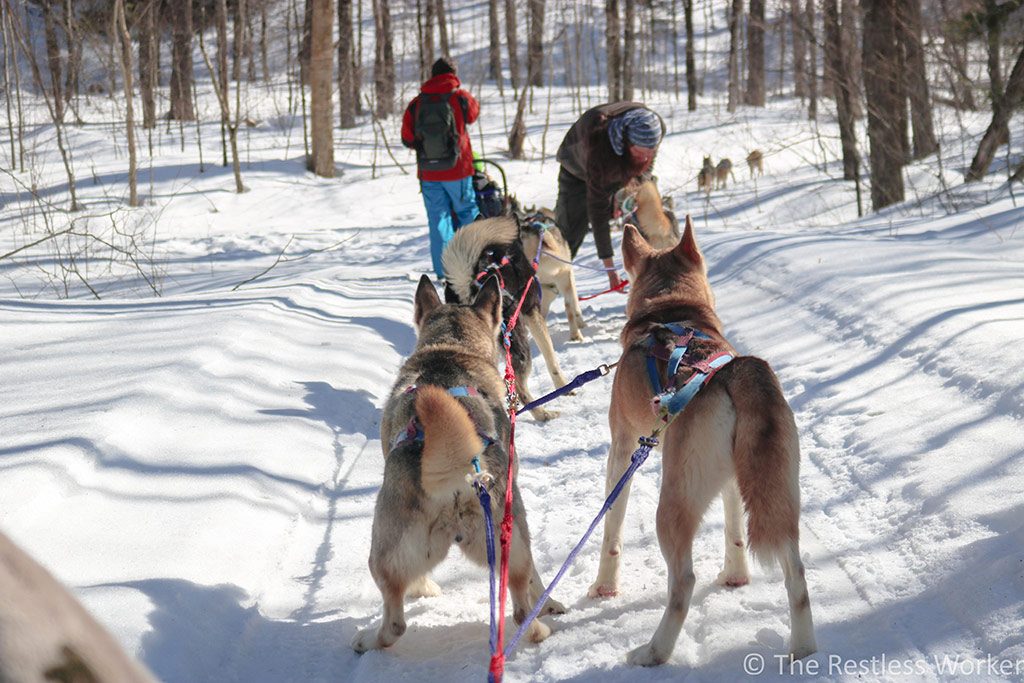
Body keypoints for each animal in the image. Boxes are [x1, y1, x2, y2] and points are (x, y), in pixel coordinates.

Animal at [350, 274, 561, 655]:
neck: (450, 349)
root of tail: (457, 477)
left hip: (384, 555)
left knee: (395, 622)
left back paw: (370, 637)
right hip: (512, 543)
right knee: (522, 607)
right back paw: (539, 625)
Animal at [440, 218, 569, 421]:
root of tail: (470, 286)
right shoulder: (532, 313)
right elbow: (550, 356)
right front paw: (564, 386)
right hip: (518, 345)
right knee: (518, 389)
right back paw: (542, 413)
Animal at [589, 223, 819, 667]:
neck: (671, 312)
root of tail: (733, 370)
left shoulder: (622, 452)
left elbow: (611, 530)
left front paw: (603, 587)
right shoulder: (732, 481)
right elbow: (734, 532)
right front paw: (736, 575)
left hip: (671, 506)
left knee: (683, 583)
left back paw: (653, 651)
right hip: (779, 497)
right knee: (796, 575)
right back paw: (802, 650)